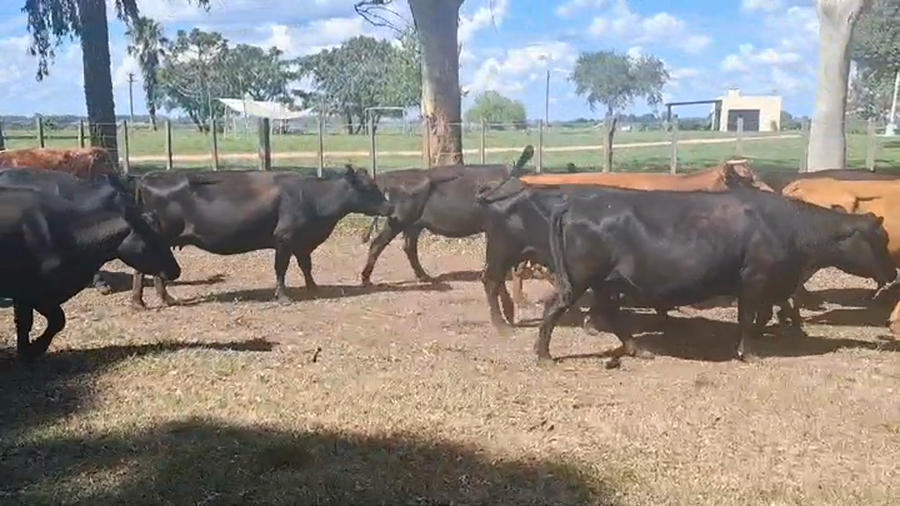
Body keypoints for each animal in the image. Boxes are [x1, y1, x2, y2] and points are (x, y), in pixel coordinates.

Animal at [0, 185, 181, 361]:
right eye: (154, 240)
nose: (176, 270)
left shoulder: (26, 295)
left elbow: (28, 324)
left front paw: (26, 352)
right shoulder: (32, 293)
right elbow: (52, 320)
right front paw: (34, 350)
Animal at [129, 166, 393, 308]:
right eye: (368, 187)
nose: (389, 207)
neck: (313, 197)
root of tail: (149, 177)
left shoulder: (301, 242)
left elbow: (306, 266)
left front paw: (313, 287)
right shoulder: (284, 239)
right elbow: (281, 269)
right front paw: (283, 297)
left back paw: (162, 299)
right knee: (142, 270)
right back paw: (144, 301)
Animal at [358, 145, 535, 286]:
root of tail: (386, 177)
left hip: (413, 225)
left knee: (409, 247)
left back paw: (424, 277)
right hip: (398, 221)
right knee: (378, 244)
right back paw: (366, 279)